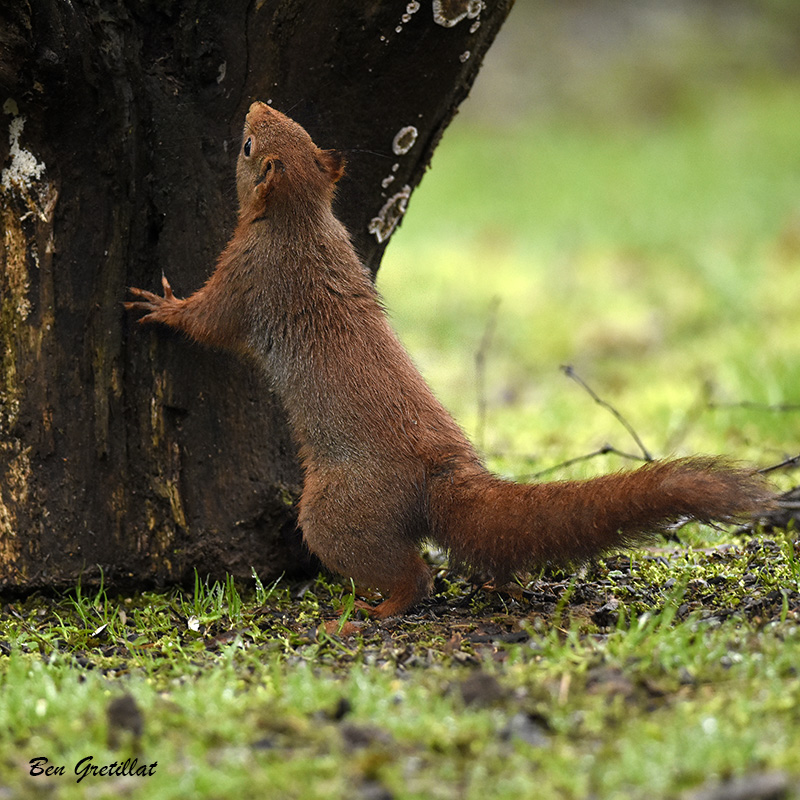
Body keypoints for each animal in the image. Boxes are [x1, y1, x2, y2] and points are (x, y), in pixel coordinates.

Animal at [126, 103, 776, 620]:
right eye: (298, 130)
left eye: (248, 145)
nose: (257, 103)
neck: (302, 218)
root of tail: (440, 472)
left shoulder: (249, 273)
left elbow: (210, 321)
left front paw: (161, 306)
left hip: (335, 511)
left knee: (414, 572)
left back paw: (374, 610)